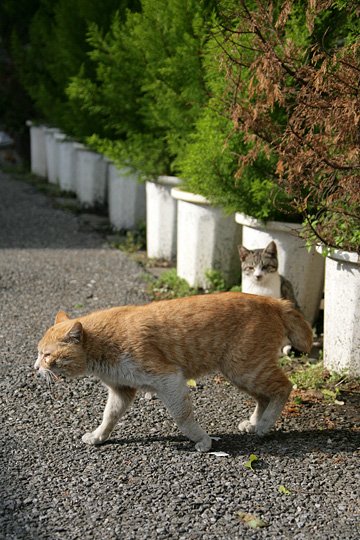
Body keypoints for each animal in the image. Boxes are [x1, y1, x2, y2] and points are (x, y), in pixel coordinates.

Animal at [35, 292, 314, 452]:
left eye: (47, 355)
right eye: (38, 353)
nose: (36, 368)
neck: (102, 345)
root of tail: (273, 300)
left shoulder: (169, 380)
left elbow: (183, 417)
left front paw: (202, 440)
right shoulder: (121, 390)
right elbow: (109, 417)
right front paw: (98, 437)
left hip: (246, 369)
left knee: (284, 387)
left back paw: (265, 425)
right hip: (240, 373)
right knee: (264, 397)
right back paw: (256, 422)